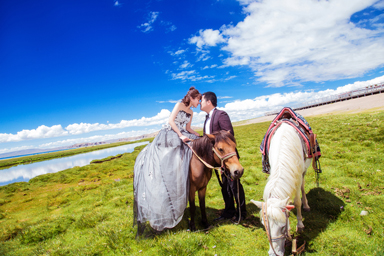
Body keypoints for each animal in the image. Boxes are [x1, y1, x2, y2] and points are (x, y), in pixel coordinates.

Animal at [252, 122, 312, 256]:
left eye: (282, 227)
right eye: (264, 225)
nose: (274, 254)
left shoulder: (298, 175)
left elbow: (297, 202)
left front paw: (300, 225)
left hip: (304, 172)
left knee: (303, 187)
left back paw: (306, 205)